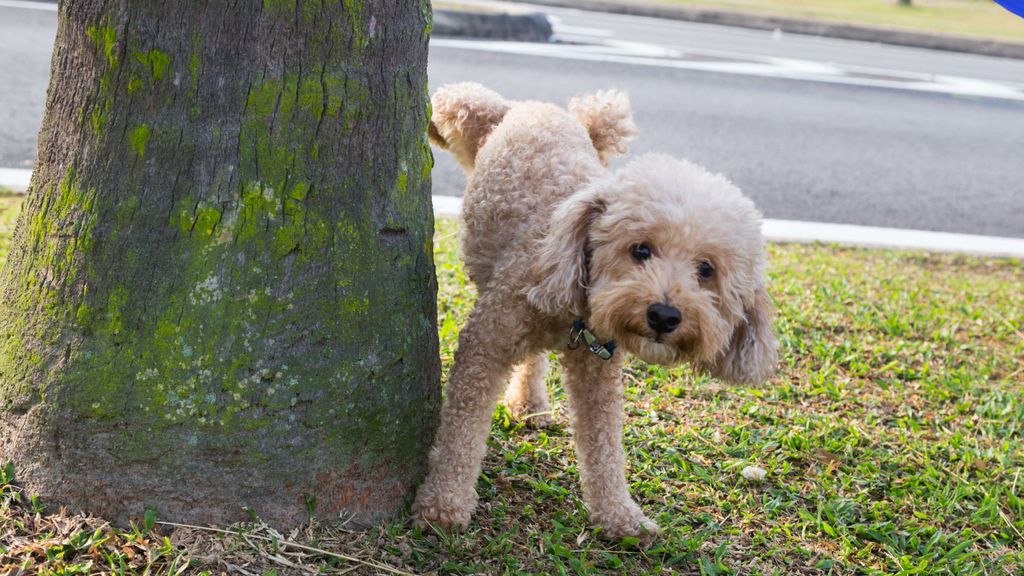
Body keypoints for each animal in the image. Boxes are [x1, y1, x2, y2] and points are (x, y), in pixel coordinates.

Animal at [407, 80, 774, 537]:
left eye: (706, 269)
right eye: (640, 250)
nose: (664, 316)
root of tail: (540, 109)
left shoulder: (598, 369)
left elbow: (604, 445)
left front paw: (620, 515)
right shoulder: (486, 343)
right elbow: (462, 429)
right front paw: (444, 503)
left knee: (534, 361)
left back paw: (531, 404)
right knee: (459, 97)